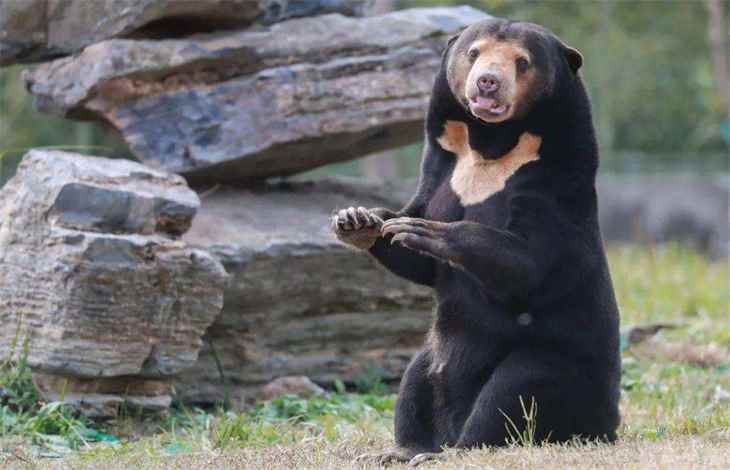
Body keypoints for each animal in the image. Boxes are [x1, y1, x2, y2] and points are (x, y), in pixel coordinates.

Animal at [331, 17, 621, 466]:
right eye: (474, 52)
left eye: (522, 61)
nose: (488, 82)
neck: (491, 146)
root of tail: (609, 424)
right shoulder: (443, 171)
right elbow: (417, 251)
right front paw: (358, 220)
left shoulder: (553, 183)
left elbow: (531, 261)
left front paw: (428, 232)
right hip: (433, 353)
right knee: (413, 381)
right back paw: (405, 449)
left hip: (557, 361)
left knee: (513, 393)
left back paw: (451, 450)